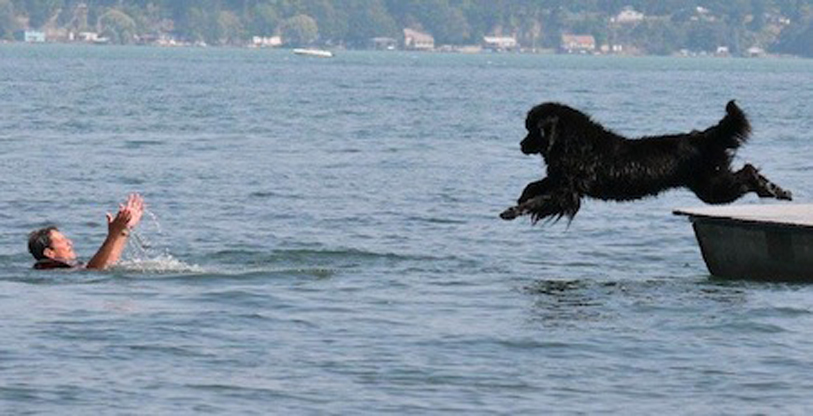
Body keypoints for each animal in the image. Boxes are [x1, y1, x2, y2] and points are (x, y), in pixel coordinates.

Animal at [498, 100, 788, 223]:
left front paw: (512, 211)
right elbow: (535, 186)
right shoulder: (559, 179)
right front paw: (520, 198)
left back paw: (773, 189)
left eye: (531, 129)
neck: (571, 142)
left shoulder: (568, 194)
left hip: (713, 187)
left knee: (748, 173)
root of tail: (705, 136)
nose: (521, 144)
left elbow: (541, 200)